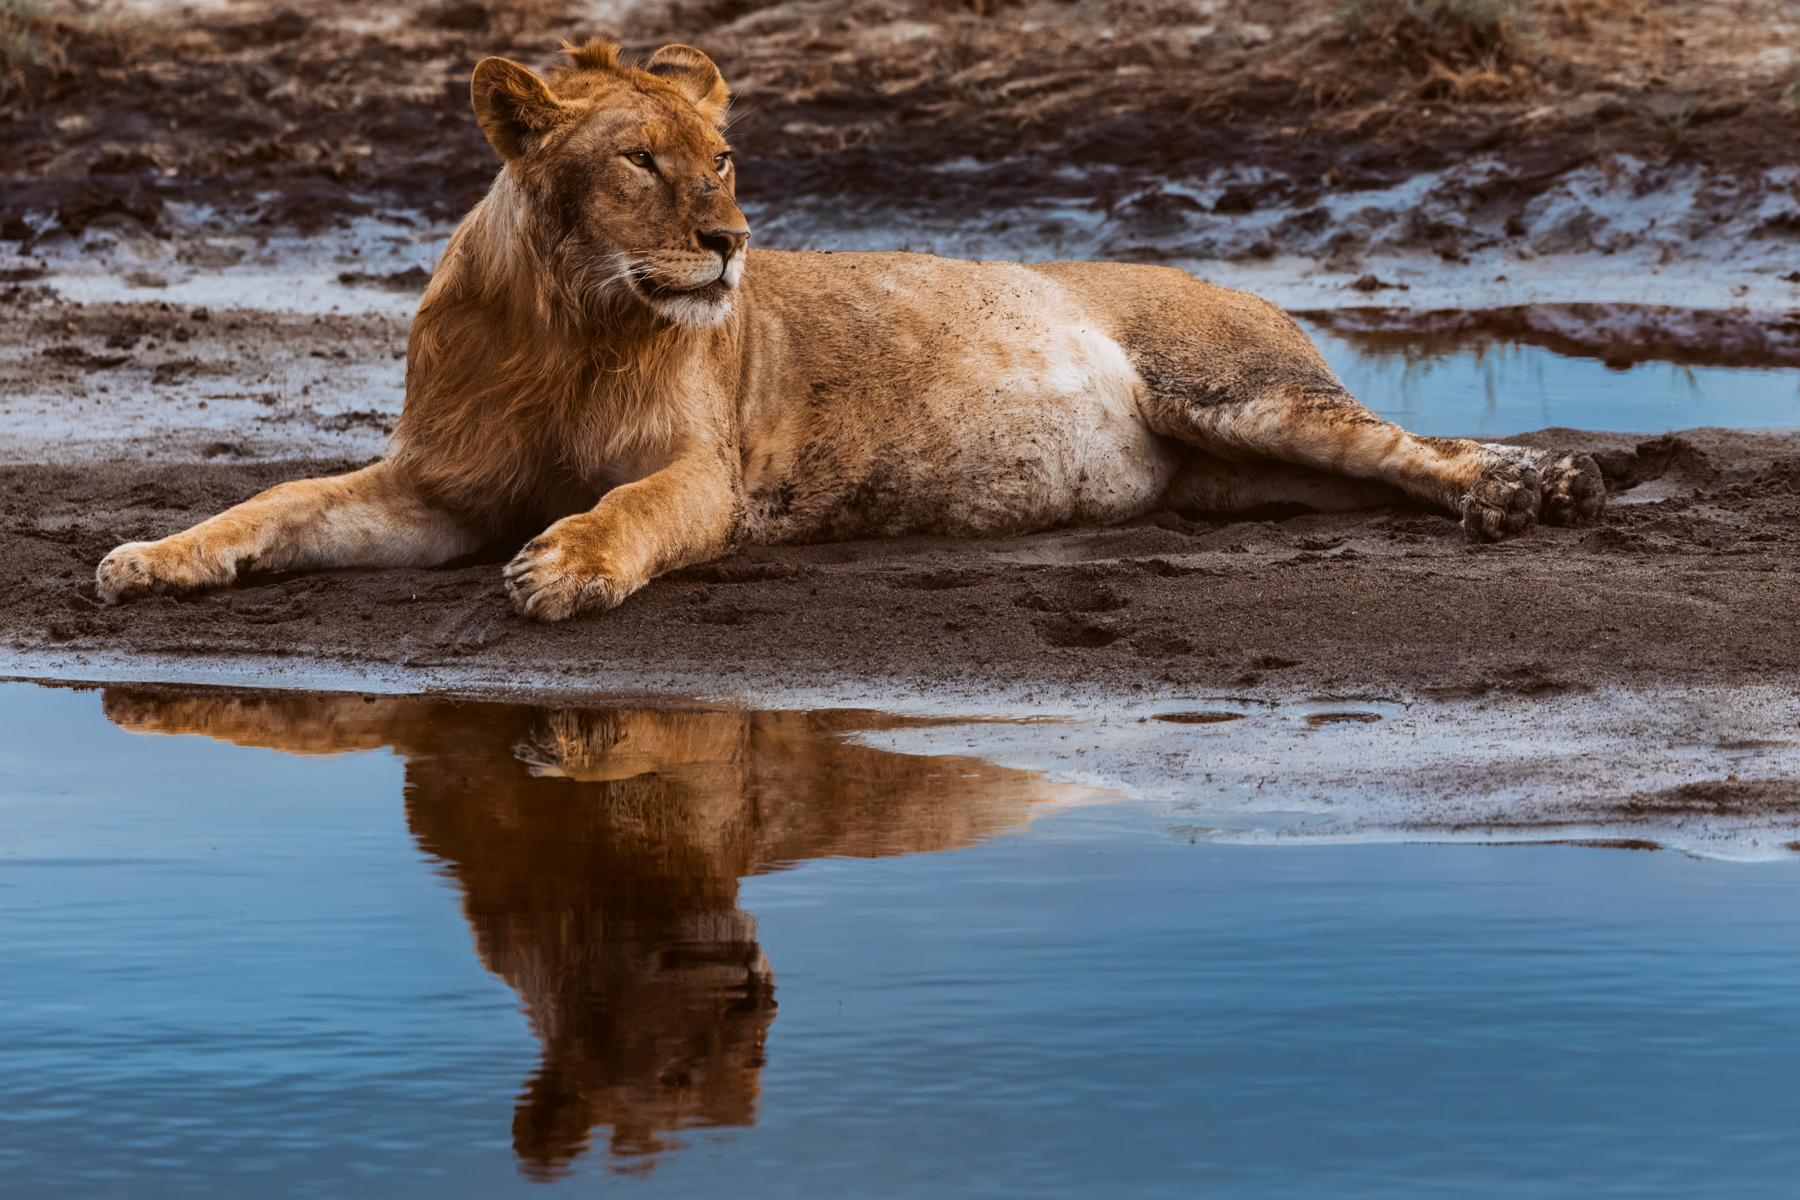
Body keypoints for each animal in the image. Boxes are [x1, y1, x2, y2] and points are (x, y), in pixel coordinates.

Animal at [95, 39, 1604, 619]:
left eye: (724, 159)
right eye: (640, 160)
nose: (731, 242)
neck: (569, 321)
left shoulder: (706, 476)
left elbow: (628, 510)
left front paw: (567, 566)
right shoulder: (435, 490)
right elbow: (278, 503)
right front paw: (154, 558)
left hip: (1245, 393)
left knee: (1410, 449)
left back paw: (1533, 491)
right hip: (1235, 470)